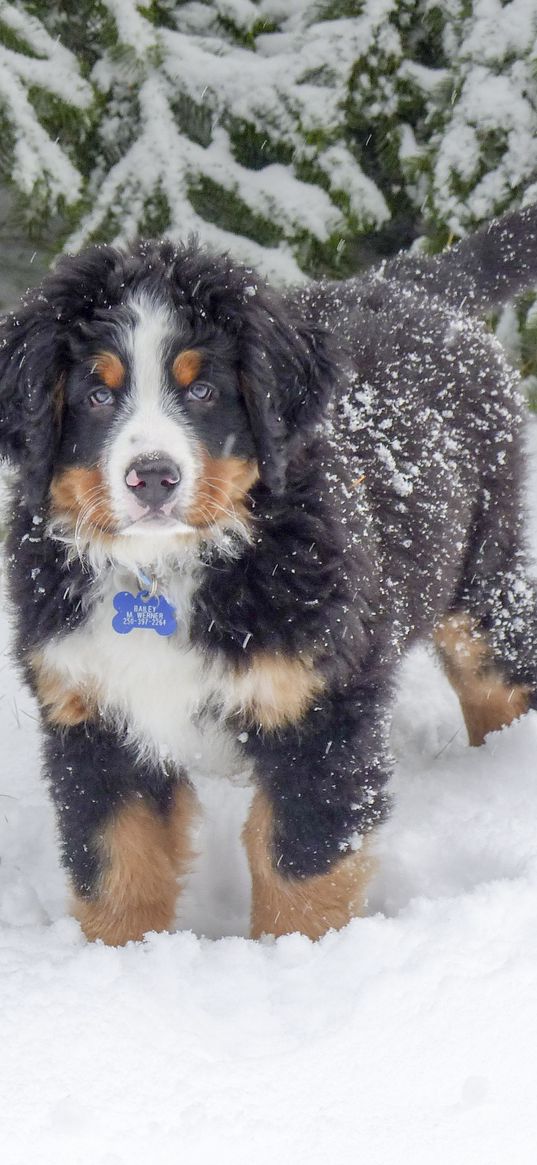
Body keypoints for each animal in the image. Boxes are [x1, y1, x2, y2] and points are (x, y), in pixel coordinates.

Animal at [1, 202, 535, 945]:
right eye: (96, 395)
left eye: (203, 389)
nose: (153, 477)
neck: (165, 569)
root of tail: (413, 280)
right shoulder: (92, 716)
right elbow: (116, 869)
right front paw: (117, 961)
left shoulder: (317, 713)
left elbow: (299, 868)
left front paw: (295, 959)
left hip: (481, 575)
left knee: (498, 677)